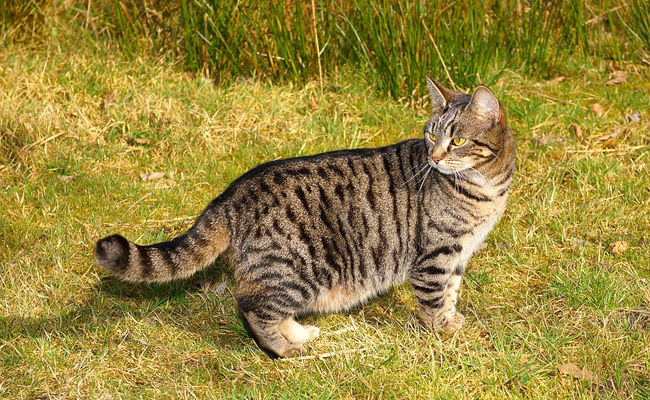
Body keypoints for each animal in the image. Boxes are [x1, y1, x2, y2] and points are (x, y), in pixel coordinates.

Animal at [96, 76, 512, 358]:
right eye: (429, 136)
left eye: (457, 140)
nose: (434, 157)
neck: (485, 188)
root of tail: (233, 193)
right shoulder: (435, 256)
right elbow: (433, 300)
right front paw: (441, 333)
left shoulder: (459, 254)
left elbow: (451, 292)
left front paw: (452, 320)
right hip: (301, 268)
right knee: (251, 306)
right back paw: (283, 349)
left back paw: (297, 334)